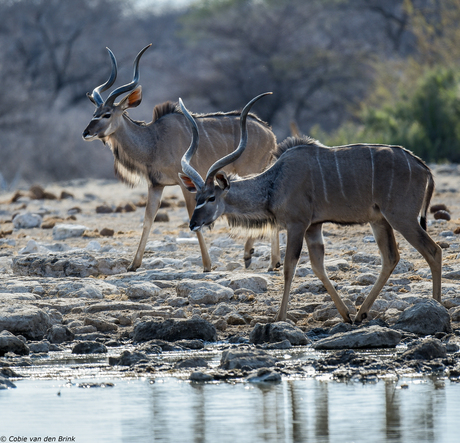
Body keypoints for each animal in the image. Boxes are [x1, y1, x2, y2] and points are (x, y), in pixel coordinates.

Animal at [81, 46, 278, 272]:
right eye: (94, 112)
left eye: (106, 114)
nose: (86, 133)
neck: (154, 140)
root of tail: (270, 133)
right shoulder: (156, 185)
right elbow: (148, 219)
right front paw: (133, 265)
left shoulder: (185, 185)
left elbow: (193, 219)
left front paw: (207, 265)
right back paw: (273, 262)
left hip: (251, 172)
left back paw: (255, 257)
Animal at [179, 93, 442, 322]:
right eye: (197, 196)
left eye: (211, 198)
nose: (193, 224)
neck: (275, 182)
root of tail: (423, 167)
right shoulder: (314, 226)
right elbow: (317, 266)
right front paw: (345, 315)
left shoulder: (297, 224)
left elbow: (289, 267)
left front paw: (280, 317)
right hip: (379, 220)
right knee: (391, 257)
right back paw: (360, 314)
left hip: (402, 218)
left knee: (433, 250)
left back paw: (437, 306)